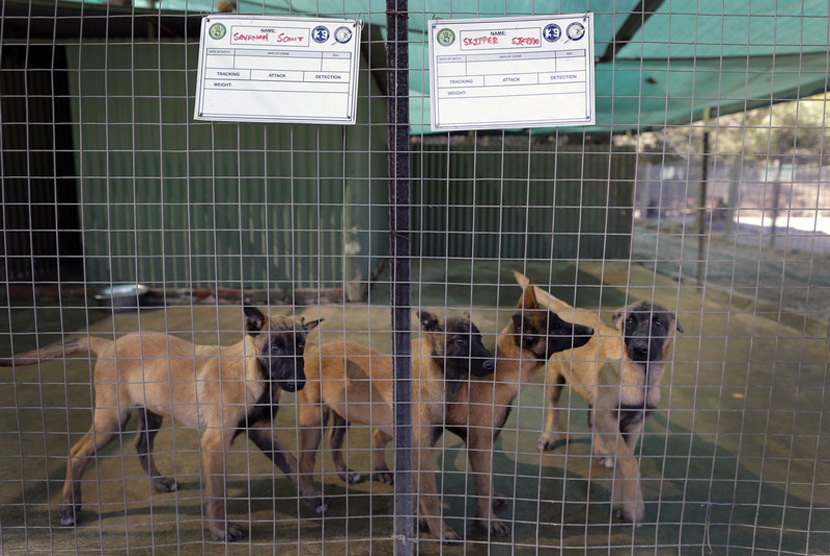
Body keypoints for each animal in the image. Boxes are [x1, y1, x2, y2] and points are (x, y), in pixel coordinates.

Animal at [0, 306, 322, 540]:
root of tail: (108, 344)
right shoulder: (215, 443)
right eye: (275, 346)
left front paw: (311, 496)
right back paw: (69, 507)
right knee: (77, 452)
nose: (299, 382)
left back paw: (157, 482)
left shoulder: (261, 430)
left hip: (151, 413)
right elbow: (217, 492)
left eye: (301, 345)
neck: (253, 373)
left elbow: (292, 464)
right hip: (111, 418)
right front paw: (221, 530)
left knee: (140, 444)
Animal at [298, 312, 494, 544]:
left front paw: (419, 518)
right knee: (306, 461)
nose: (492, 364)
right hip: (314, 417)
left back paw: (349, 473)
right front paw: (441, 531)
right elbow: (430, 497)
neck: (434, 372)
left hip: (344, 413)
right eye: (460, 340)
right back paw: (311, 499)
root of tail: (313, 349)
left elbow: (416, 491)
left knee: (336, 440)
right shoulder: (422, 453)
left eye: (480, 338)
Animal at [372, 280, 600, 536]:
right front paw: (488, 521)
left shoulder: (487, 444)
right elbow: (482, 487)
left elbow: (488, 479)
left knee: (378, 434)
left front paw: (492, 500)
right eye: (558, 329)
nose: (591, 330)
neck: (501, 375)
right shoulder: (479, 445)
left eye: (560, 321)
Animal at [516, 272, 684, 524]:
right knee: (554, 410)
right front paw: (634, 507)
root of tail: (568, 309)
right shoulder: (608, 416)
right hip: (555, 380)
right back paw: (547, 438)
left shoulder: (633, 423)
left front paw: (621, 503)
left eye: (658, 323)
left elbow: (624, 461)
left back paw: (601, 452)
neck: (641, 376)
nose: (640, 348)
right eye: (630, 321)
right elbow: (629, 462)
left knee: (590, 421)